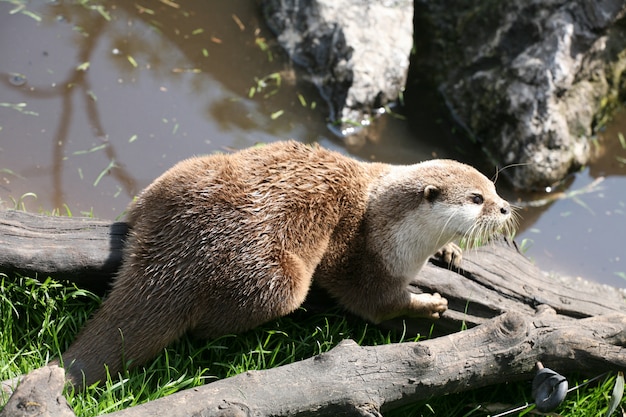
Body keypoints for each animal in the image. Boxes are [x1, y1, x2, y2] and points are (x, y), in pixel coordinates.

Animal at [53, 141, 512, 386]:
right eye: (476, 199)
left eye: (494, 188)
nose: (507, 208)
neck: (380, 214)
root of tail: (188, 249)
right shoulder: (363, 257)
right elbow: (375, 302)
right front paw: (429, 303)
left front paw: (450, 252)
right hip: (277, 279)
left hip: (183, 174)